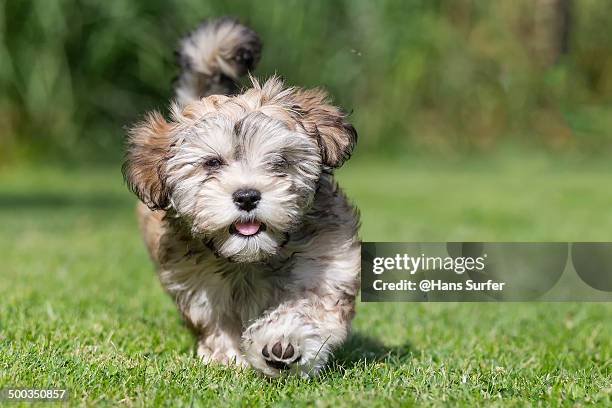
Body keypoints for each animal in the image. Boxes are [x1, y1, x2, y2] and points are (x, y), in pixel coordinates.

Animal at [122, 17, 360, 378]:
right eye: (212, 163)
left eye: (279, 162)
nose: (247, 197)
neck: (252, 260)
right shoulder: (199, 286)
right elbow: (217, 323)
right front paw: (227, 357)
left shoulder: (326, 267)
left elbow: (309, 310)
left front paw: (282, 343)